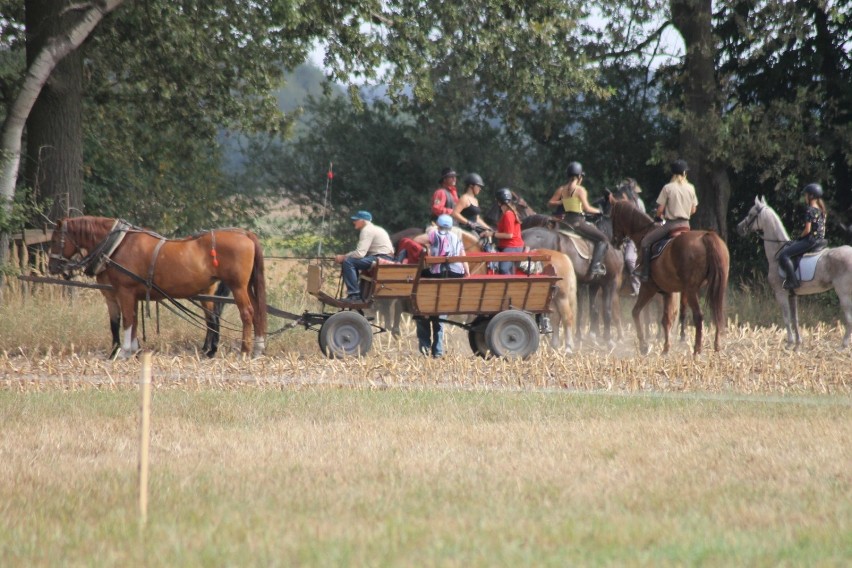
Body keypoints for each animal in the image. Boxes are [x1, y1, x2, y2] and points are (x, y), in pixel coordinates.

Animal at [49, 215, 266, 358]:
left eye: (55, 240)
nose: (52, 266)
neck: (117, 246)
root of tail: (245, 234)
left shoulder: (124, 292)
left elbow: (126, 320)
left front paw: (124, 351)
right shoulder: (128, 294)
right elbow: (130, 321)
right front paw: (131, 350)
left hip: (237, 287)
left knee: (246, 313)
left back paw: (244, 351)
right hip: (245, 286)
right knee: (254, 311)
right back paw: (256, 348)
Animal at [302, 253, 564, 360]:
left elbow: (348, 325)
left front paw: (345, 341)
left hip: (510, 311)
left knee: (508, 325)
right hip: (488, 317)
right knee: (483, 332)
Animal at [608, 197, 728, 352]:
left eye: (612, 217)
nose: (614, 242)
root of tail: (707, 236)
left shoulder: (648, 287)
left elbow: (636, 312)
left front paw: (644, 345)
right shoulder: (667, 292)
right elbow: (666, 319)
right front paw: (666, 348)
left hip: (690, 290)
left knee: (698, 315)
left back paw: (697, 350)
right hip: (717, 287)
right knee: (716, 311)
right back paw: (717, 346)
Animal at [732, 195, 852, 348]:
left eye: (751, 214)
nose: (739, 228)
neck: (777, 253)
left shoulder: (781, 293)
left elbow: (786, 318)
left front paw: (789, 343)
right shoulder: (792, 295)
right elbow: (795, 318)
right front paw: (797, 344)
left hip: (843, 292)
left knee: (849, 318)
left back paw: (843, 345)